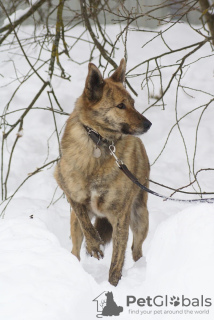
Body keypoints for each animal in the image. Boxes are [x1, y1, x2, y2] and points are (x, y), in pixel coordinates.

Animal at [55, 58, 152, 286]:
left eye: (133, 103)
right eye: (120, 105)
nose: (148, 124)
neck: (99, 142)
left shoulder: (120, 217)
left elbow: (117, 260)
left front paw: (113, 286)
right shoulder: (65, 186)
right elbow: (84, 219)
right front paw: (93, 245)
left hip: (140, 217)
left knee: (136, 249)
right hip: (74, 225)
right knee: (75, 248)